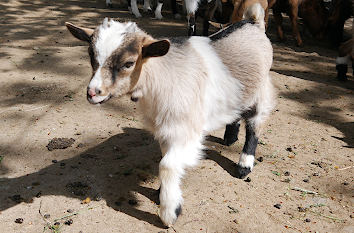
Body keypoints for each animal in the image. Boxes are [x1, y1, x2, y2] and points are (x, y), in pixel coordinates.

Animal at [66, 6, 276, 227]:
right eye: (91, 55)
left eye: (129, 63)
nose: (92, 93)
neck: (161, 76)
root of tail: (252, 22)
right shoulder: (166, 130)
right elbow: (168, 159)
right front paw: (162, 193)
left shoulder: (186, 130)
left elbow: (166, 165)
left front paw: (169, 210)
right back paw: (230, 138)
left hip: (261, 90)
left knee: (255, 124)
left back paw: (244, 166)